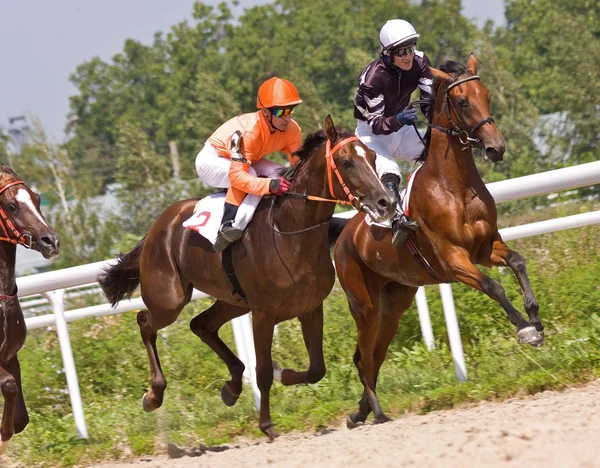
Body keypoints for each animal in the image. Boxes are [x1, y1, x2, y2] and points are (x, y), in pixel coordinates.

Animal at [97, 116, 398, 438]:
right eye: (346, 162)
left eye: (372, 156)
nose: (385, 203)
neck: (290, 234)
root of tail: (157, 226)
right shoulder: (263, 314)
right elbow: (263, 371)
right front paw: (266, 424)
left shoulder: (309, 308)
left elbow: (317, 368)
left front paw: (284, 374)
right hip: (169, 299)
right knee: (145, 322)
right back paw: (154, 395)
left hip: (234, 301)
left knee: (201, 325)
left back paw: (231, 387)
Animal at [332, 55, 544, 428]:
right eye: (462, 102)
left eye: (487, 95)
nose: (496, 148)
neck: (454, 186)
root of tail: (344, 233)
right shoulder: (453, 259)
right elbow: (493, 286)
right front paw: (524, 329)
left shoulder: (485, 247)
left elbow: (517, 261)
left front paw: (536, 319)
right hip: (364, 305)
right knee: (364, 356)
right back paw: (373, 411)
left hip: (395, 303)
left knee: (373, 355)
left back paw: (361, 411)